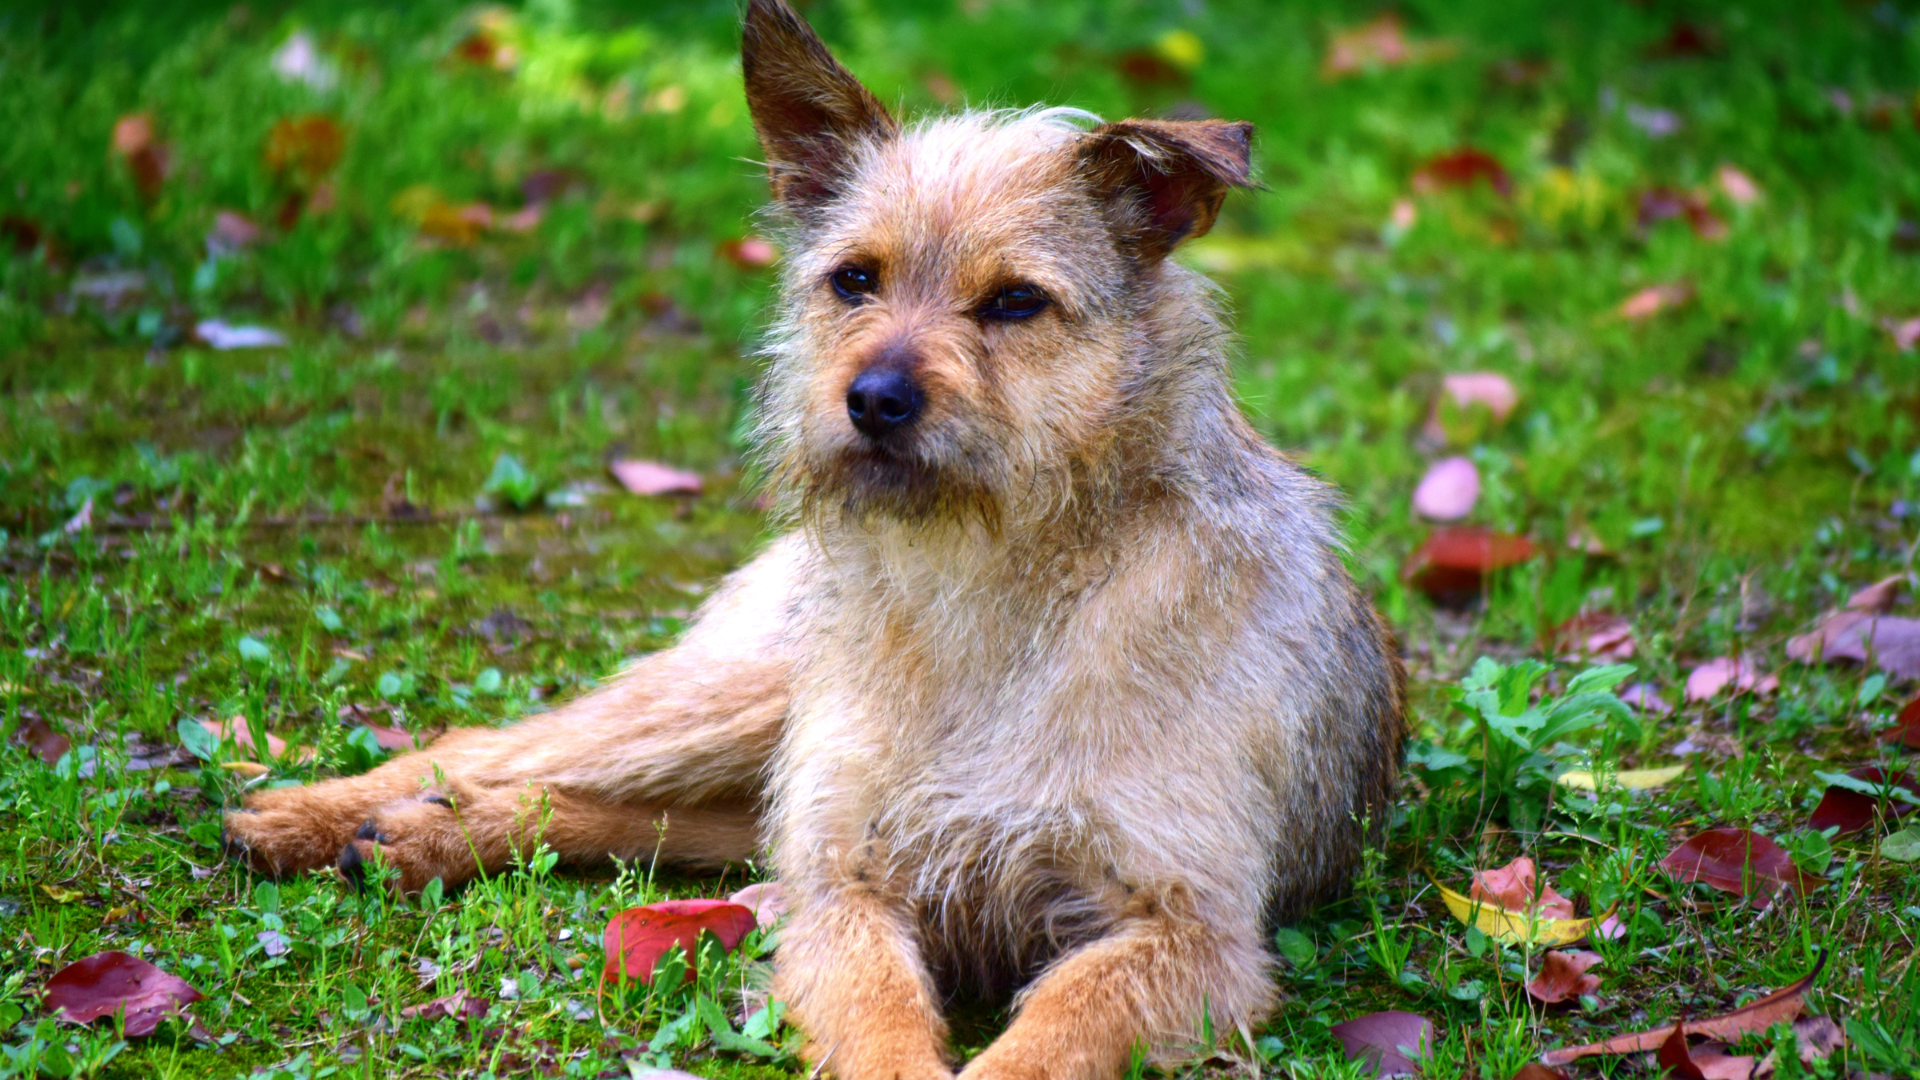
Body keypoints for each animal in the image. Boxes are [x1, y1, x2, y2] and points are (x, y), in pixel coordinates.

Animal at [217, 4, 1405, 1068]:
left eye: (1016, 303)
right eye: (854, 279)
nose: (872, 399)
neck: (1001, 575)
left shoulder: (1189, 932)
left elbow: (1049, 1036)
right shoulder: (845, 885)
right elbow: (879, 1022)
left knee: (627, 810)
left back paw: (424, 835)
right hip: (734, 698)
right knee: (491, 745)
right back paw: (300, 814)